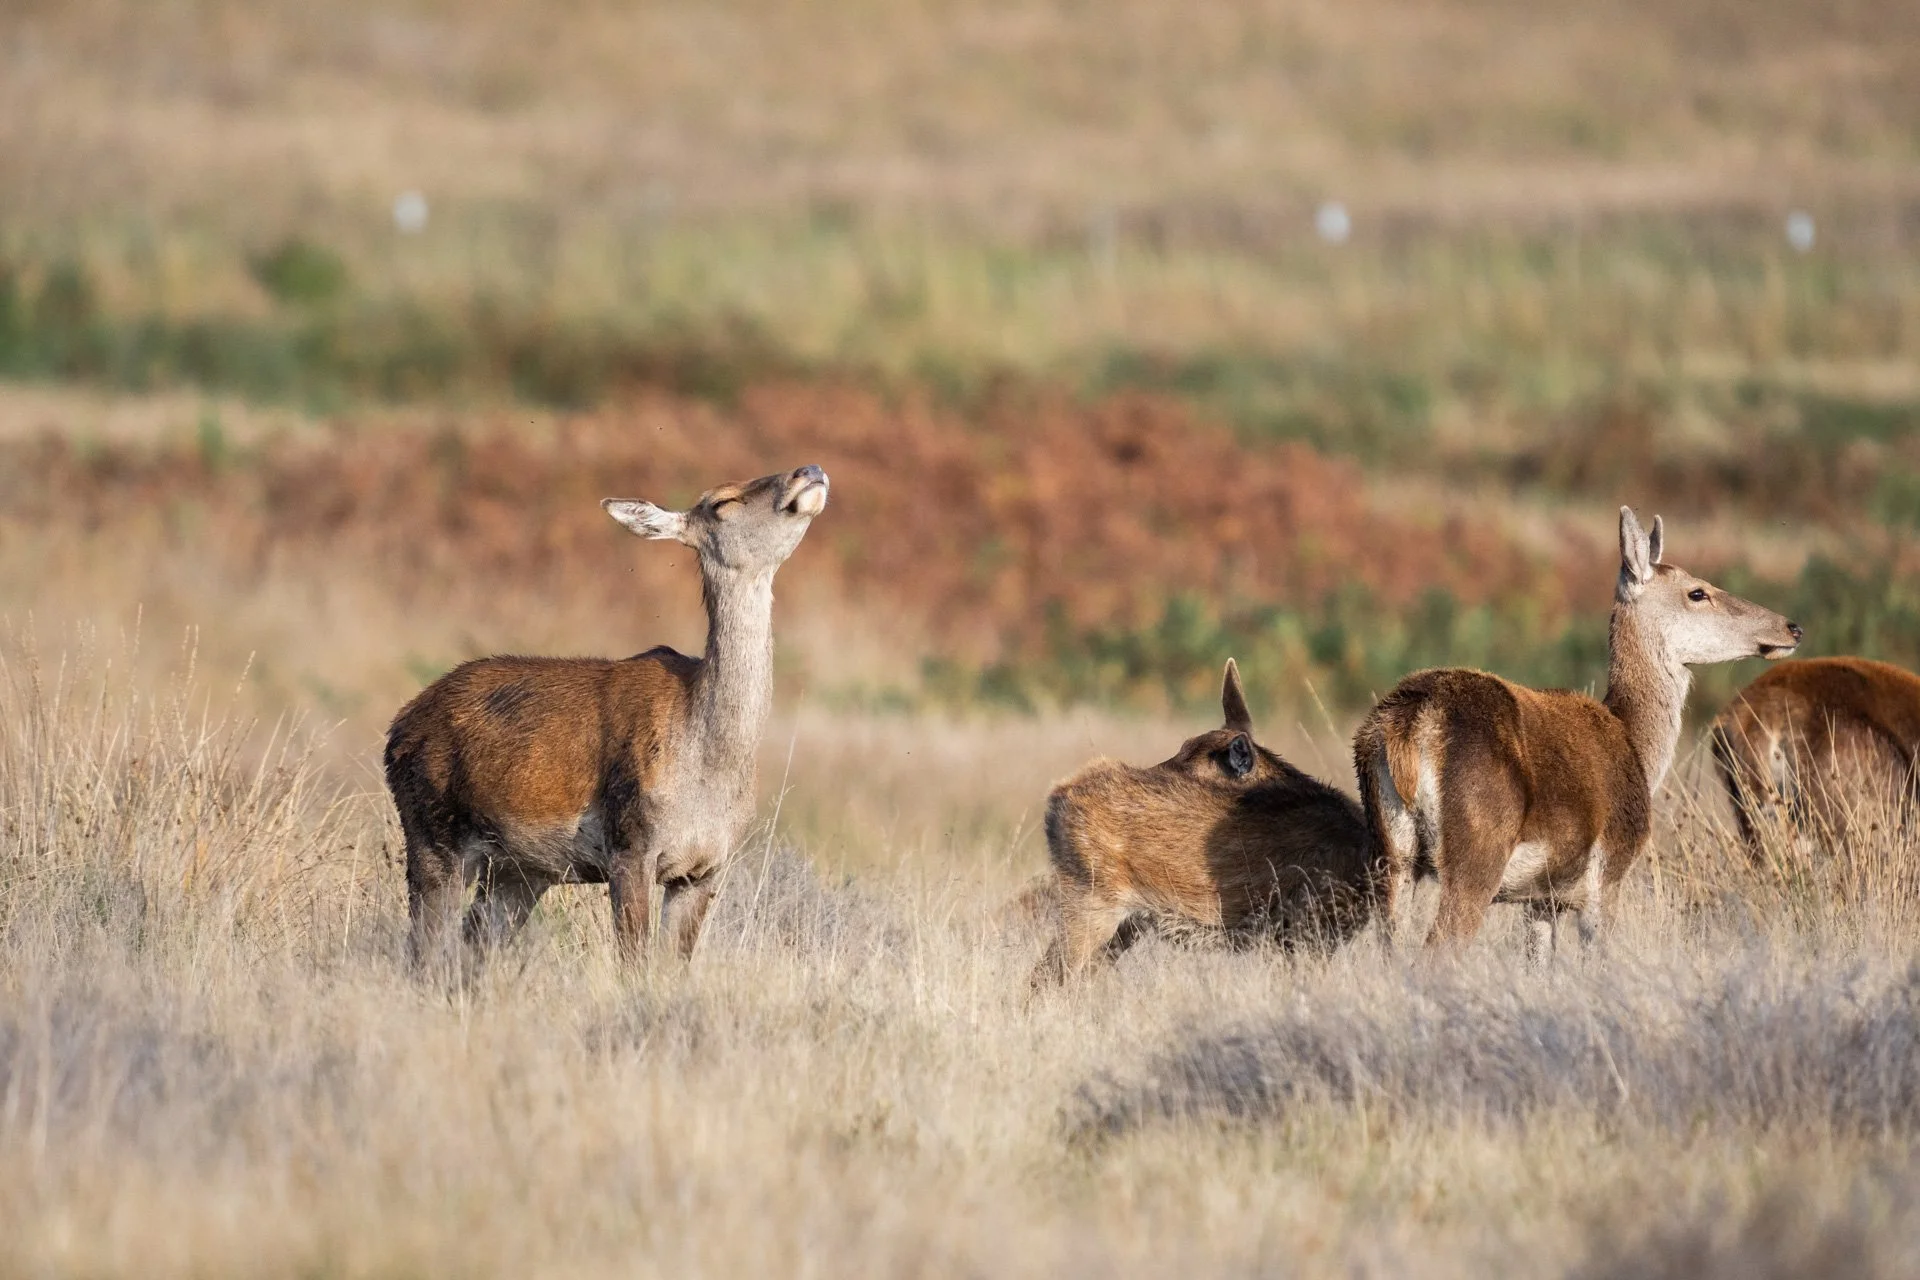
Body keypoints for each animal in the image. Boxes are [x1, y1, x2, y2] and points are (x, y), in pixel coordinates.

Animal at [384, 464, 828, 974]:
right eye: (721, 501)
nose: (808, 471)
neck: (707, 763)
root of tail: (398, 730)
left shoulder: (708, 865)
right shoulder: (629, 844)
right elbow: (634, 964)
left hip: (519, 871)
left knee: (472, 945)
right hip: (432, 834)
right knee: (424, 951)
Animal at [1031, 659, 1374, 986]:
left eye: (1188, 761)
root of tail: (1057, 797)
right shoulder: (1307, 926)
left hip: (1122, 921)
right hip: (1092, 897)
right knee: (1043, 977)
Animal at [1352, 507, 1801, 958]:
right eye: (1697, 592)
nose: (1791, 627)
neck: (1636, 747)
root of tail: (1410, 724)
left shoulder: (1542, 898)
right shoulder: (1609, 873)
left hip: (1392, 853)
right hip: (1477, 848)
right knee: (1439, 948)